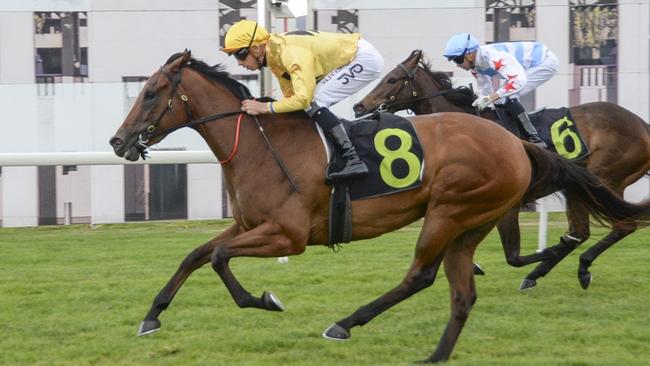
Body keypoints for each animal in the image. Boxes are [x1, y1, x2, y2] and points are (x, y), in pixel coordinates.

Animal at [352, 50, 648, 292]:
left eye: (392, 80)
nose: (359, 106)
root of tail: (641, 124)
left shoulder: (506, 203)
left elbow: (512, 256)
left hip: (604, 178)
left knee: (619, 225)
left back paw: (576, 267)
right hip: (579, 185)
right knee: (582, 232)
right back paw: (550, 271)